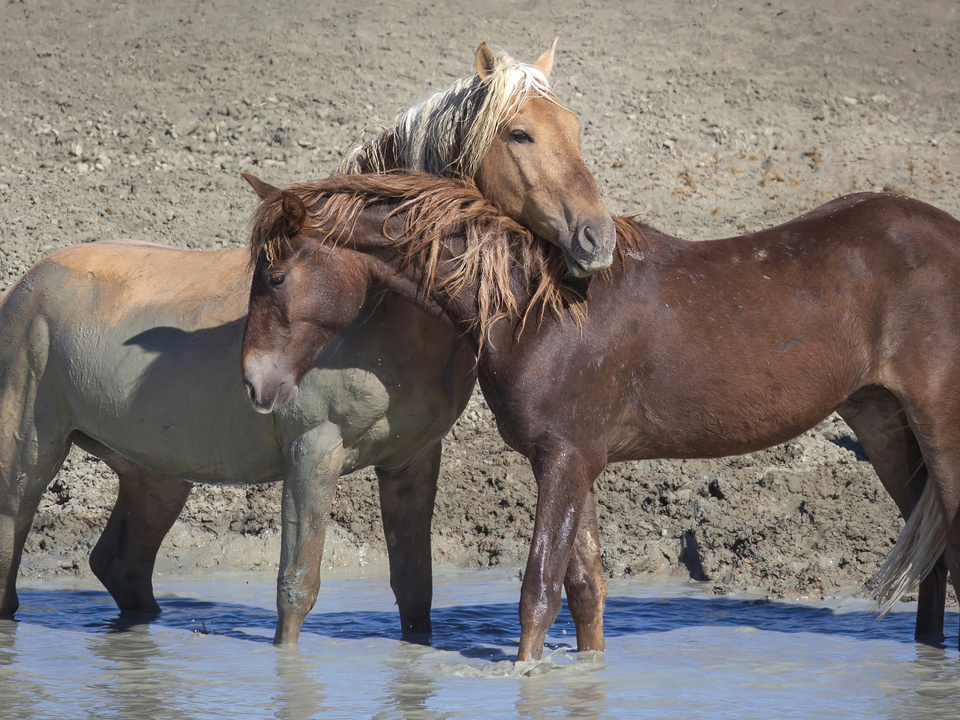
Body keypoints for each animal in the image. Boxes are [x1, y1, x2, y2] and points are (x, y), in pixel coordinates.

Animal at [0, 40, 614, 645]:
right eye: (519, 134)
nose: (598, 238)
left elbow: (415, 592)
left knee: (120, 566)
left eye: (575, 126)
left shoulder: (412, 462)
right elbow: (296, 587)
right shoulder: (312, 453)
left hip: (154, 475)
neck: (382, 318)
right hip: (26, 465)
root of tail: (26, 285)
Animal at [240, 171, 960, 660]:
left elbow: (539, 591)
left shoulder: (563, 460)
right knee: (934, 560)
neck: (535, 305)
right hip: (884, 424)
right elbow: (586, 589)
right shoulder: (573, 459)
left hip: (940, 431)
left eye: (273, 278)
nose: (253, 383)